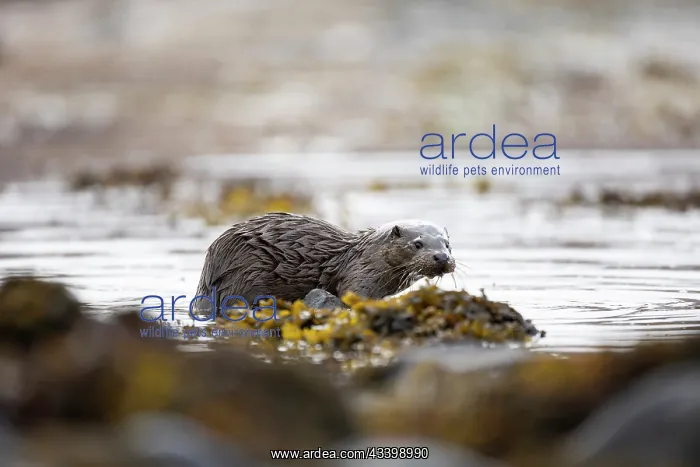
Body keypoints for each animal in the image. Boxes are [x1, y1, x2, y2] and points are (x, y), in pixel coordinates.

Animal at [194, 212, 455, 310]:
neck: (368, 254)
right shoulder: (360, 273)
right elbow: (352, 295)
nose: (442, 257)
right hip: (246, 276)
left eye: (446, 243)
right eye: (418, 244)